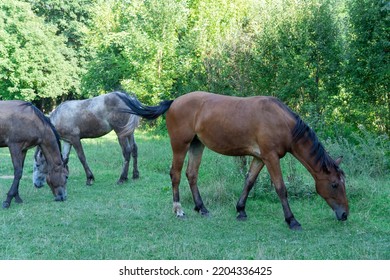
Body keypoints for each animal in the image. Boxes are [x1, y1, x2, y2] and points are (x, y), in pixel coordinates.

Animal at [117, 92, 348, 230]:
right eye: (334, 185)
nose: (345, 214)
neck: (281, 121)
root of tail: (175, 102)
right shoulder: (271, 157)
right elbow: (281, 188)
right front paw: (291, 220)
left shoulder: (259, 158)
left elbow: (249, 182)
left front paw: (241, 210)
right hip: (180, 146)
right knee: (175, 174)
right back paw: (179, 210)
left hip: (197, 145)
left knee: (191, 175)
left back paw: (202, 208)